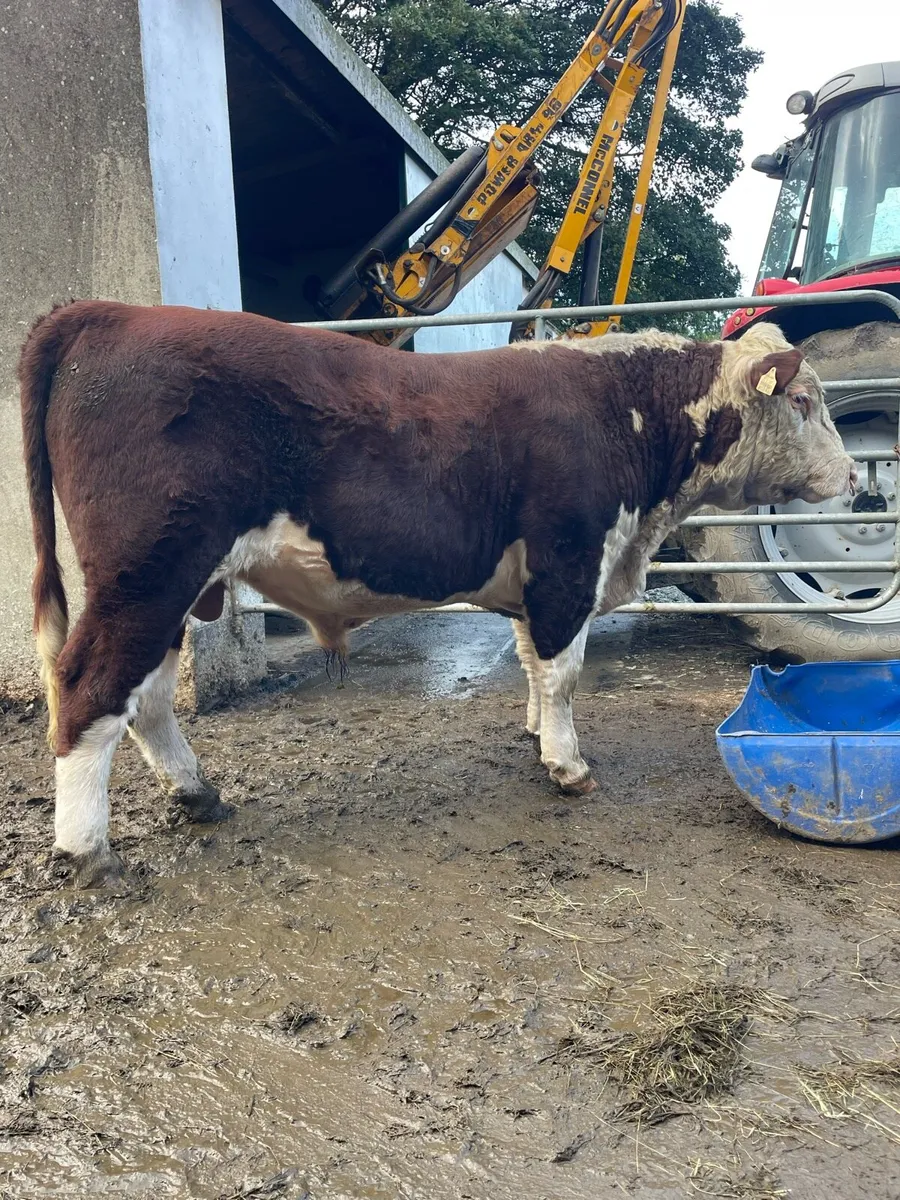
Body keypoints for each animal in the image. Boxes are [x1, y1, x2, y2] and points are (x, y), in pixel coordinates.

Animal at [18, 301, 854, 888]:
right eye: (804, 402)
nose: (853, 478)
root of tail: (105, 311)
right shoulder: (569, 558)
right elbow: (563, 670)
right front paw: (567, 763)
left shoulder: (535, 579)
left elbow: (531, 662)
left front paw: (534, 736)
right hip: (147, 572)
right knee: (90, 687)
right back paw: (86, 849)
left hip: (169, 585)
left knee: (148, 699)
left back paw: (197, 793)